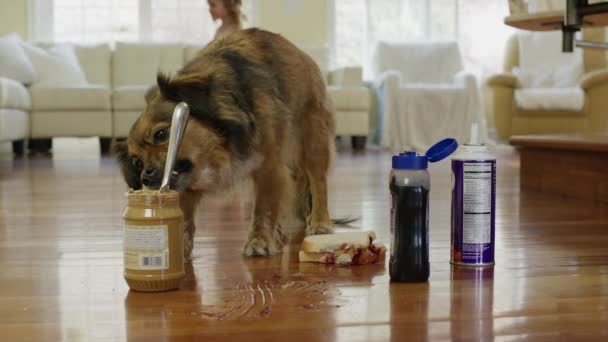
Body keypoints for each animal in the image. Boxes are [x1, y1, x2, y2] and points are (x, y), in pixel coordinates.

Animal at [114, 29, 338, 260]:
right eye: (137, 163)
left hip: (313, 139)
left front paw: (259, 240)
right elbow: (184, 217)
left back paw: (320, 222)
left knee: (318, 182)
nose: (145, 176)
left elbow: (264, 208)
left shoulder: (269, 167)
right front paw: (178, 247)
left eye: (160, 134)